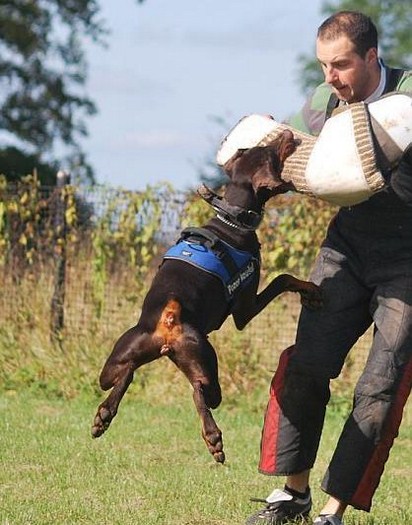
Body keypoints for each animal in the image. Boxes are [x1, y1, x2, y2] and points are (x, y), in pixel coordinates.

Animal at [91, 130, 322, 463]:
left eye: (258, 147)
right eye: (271, 152)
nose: (286, 132)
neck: (231, 220)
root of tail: (169, 318)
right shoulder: (245, 309)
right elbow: (283, 278)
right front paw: (312, 291)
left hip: (119, 358)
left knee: (125, 374)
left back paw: (104, 415)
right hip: (206, 361)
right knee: (200, 393)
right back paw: (213, 439)